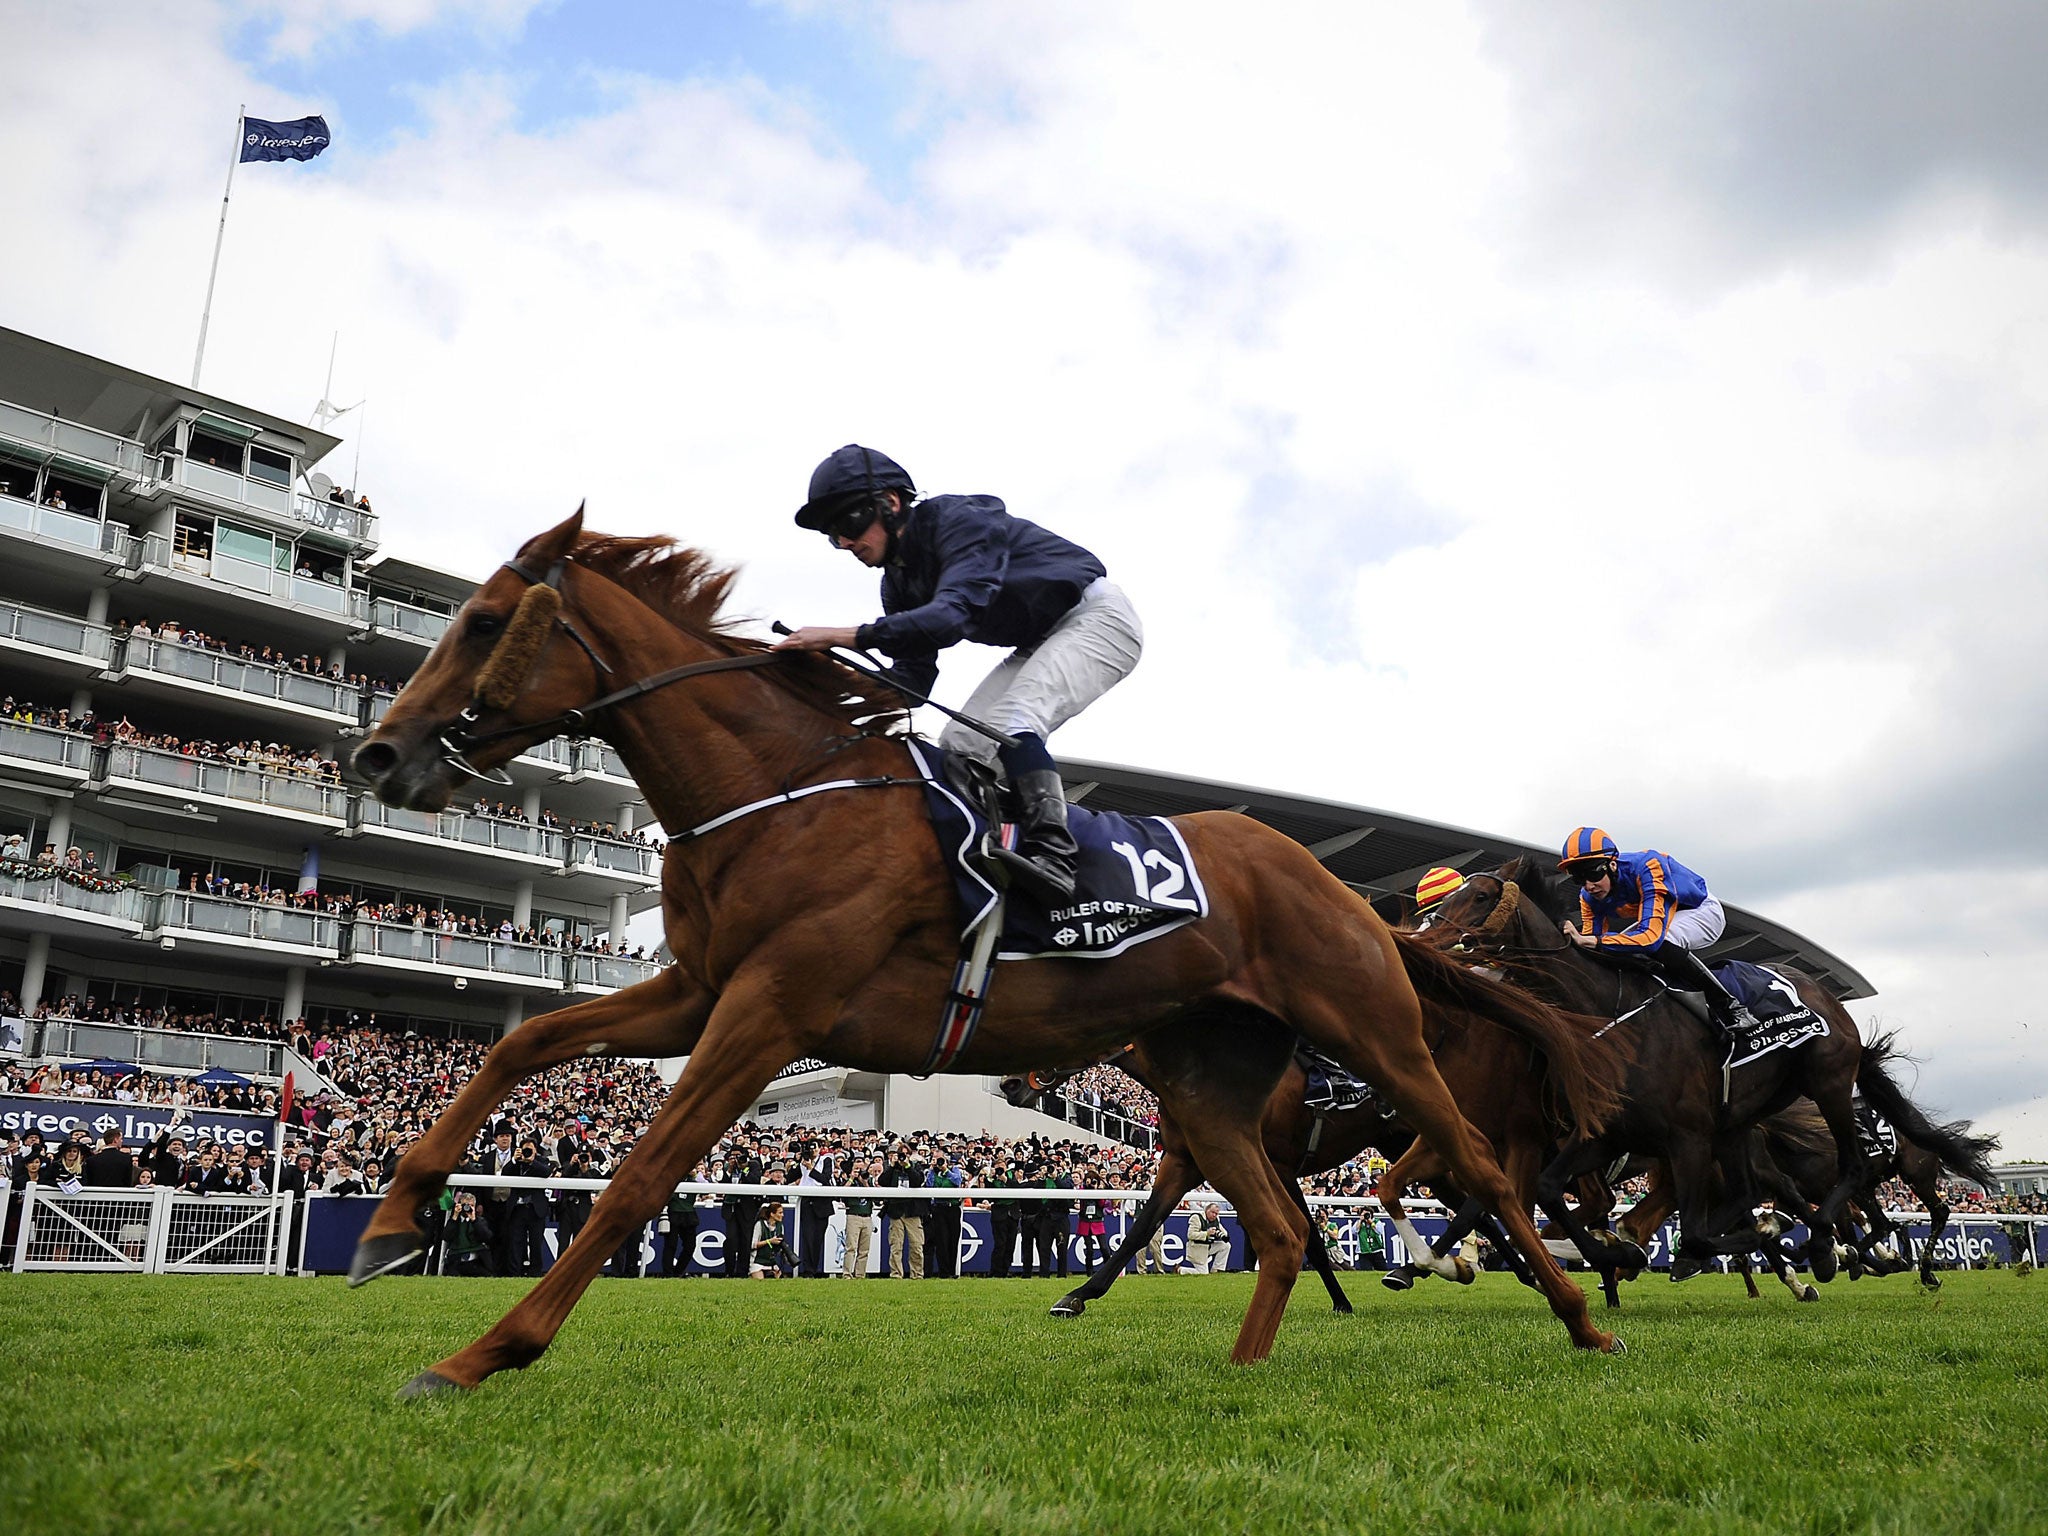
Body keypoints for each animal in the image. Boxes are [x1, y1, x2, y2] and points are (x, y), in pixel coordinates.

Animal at [352, 518, 1630, 1392]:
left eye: (479, 623)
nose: (378, 754)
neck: (779, 791)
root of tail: (1349, 895)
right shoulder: (698, 992)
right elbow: (519, 1047)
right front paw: (391, 1222)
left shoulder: (767, 1011)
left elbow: (636, 1177)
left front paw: (484, 1352)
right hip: (1205, 1083)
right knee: (1277, 1223)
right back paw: (1241, 1368)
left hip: (1371, 1032)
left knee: (1474, 1167)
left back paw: (1581, 1313)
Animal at [1425, 860, 1875, 1277]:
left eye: (1481, 896)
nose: (1430, 934)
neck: (1607, 1014)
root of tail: (1824, 992)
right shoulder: (1606, 1133)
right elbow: (1548, 1191)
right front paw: (1615, 1252)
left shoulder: (1687, 1138)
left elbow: (1692, 1233)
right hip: (1737, 1123)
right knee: (1749, 1192)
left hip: (1829, 1082)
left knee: (1849, 1167)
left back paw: (1828, 1244)